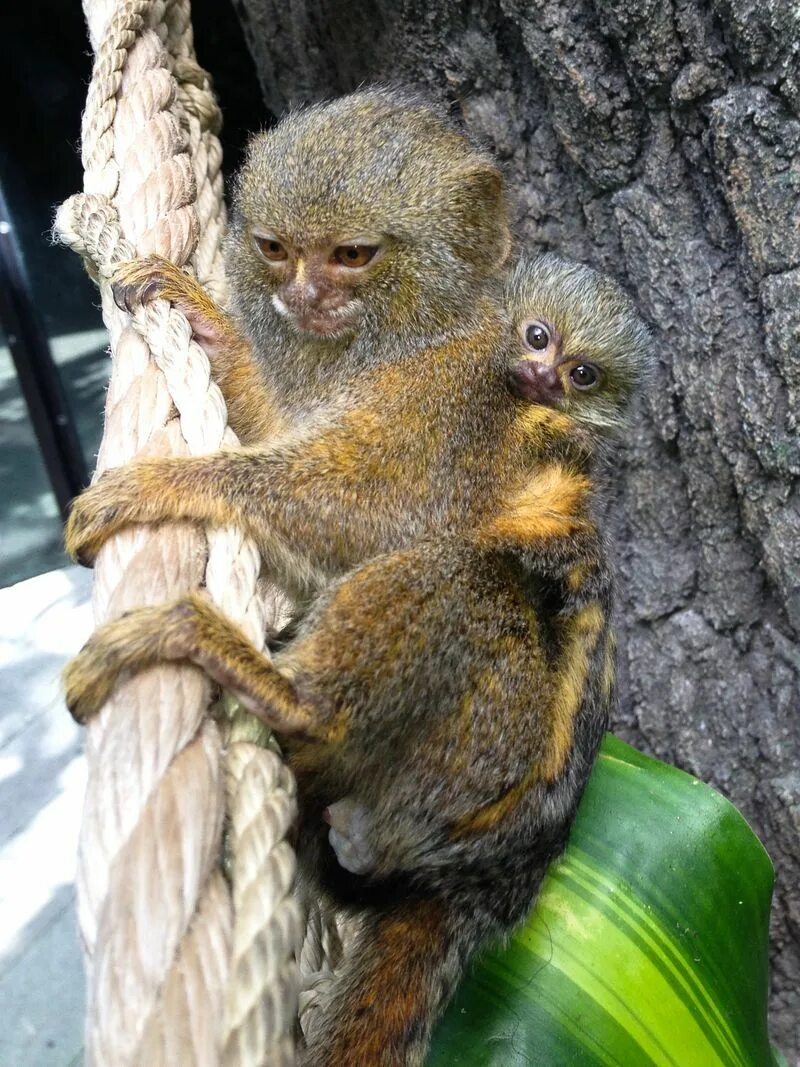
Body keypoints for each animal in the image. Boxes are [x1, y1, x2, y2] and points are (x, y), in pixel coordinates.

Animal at [62, 256, 652, 1067]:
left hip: (469, 763)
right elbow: (282, 425)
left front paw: (169, 486)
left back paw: (266, 680)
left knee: (469, 576)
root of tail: (496, 880)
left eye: (581, 371)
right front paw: (205, 317)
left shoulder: (460, 394)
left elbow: (370, 508)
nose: (543, 375)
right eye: (538, 336)